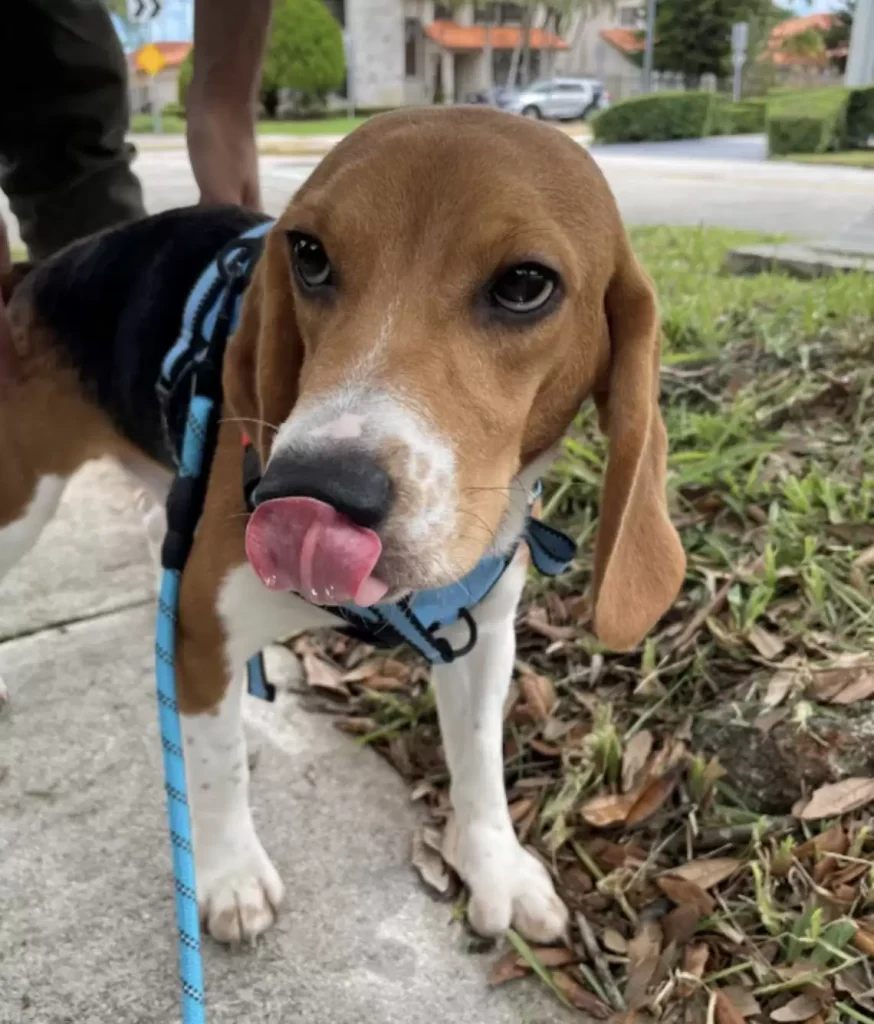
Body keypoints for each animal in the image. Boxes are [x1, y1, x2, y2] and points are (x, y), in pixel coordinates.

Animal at [0, 108, 683, 946]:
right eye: (310, 256)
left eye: (526, 284)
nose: (309, 496)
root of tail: (32, 276)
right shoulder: (202, 635)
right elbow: (217, 765)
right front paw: (229, 876)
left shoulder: (484, 634)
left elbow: (480, 760)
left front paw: (492, 863)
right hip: (21, 504)